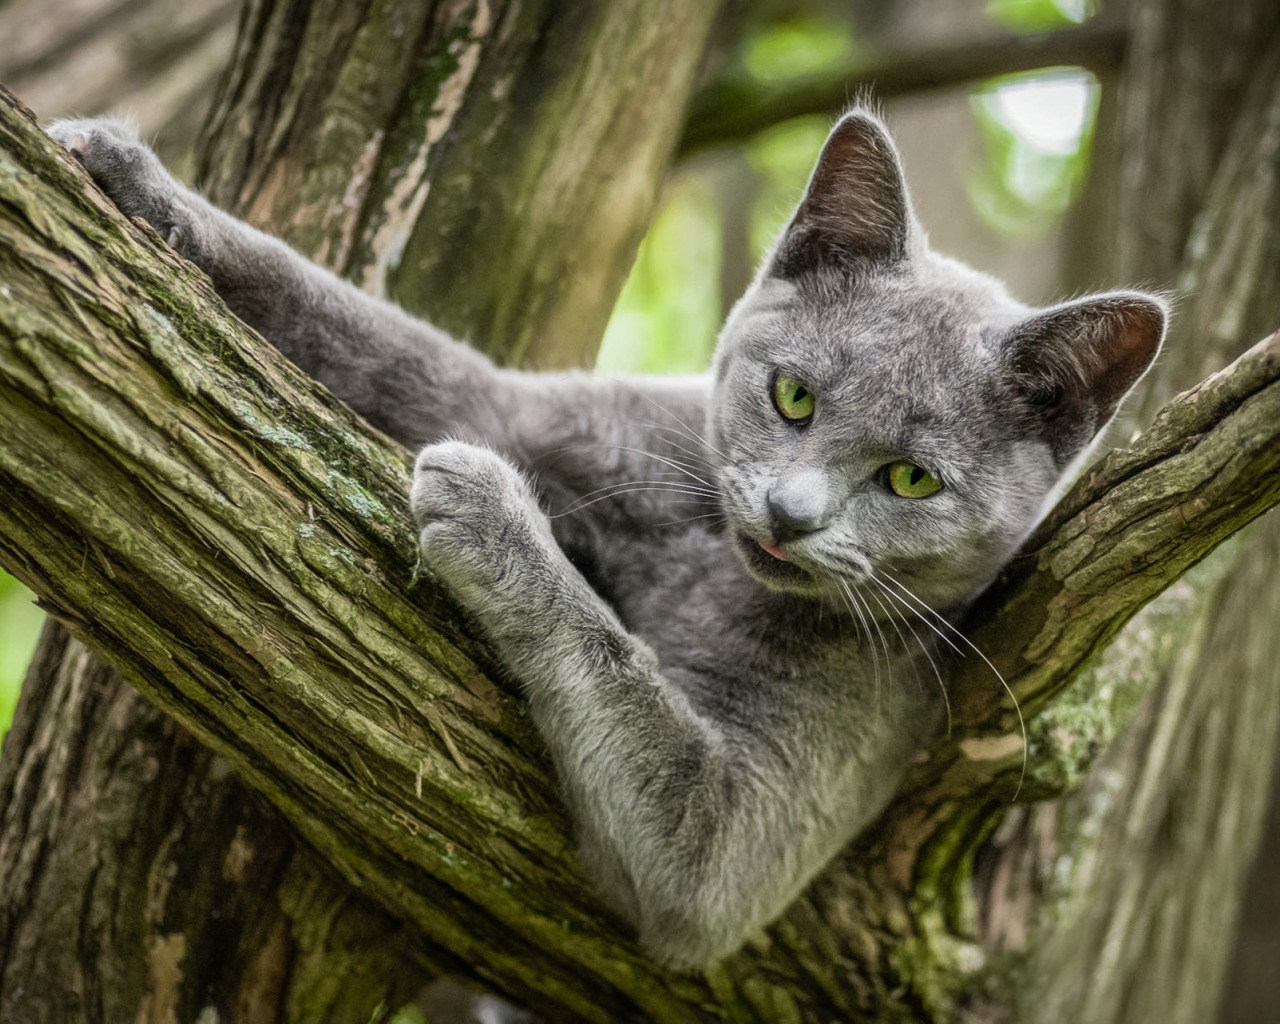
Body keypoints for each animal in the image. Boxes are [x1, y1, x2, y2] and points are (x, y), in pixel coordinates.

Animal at [49, 112, 1167, 967]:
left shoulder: (735, 835)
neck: (707, 561)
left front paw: (493, 516)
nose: (789, 516)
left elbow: (630, 687)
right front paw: (129, 176)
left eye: (911, 479)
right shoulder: (550, 416)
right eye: (793, 396)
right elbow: (375, 336)